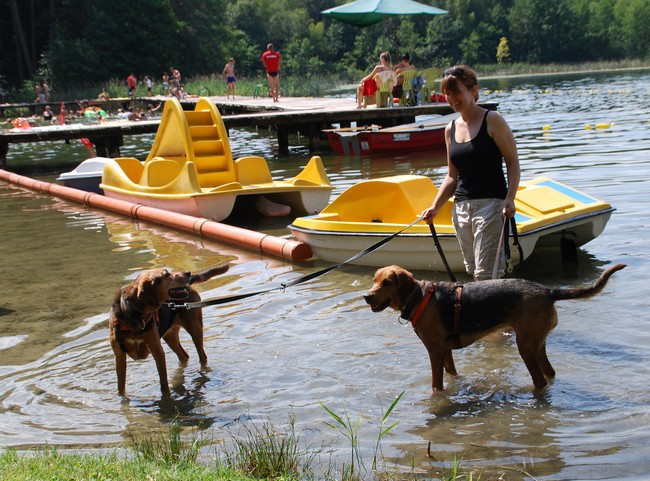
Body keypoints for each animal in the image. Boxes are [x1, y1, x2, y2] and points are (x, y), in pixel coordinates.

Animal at [107, 262, 227, 398]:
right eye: (166, 274)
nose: (188, 272)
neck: (133, 316)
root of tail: (189, 283)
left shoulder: (157, 350)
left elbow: (164, 384)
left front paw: (166, 399)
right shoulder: (119, 356)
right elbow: (120, 386)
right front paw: (122, 400)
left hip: (195, 328)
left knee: (202, 357)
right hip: (170, 336)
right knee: (184, 356)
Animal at [364, 262, 624, 390]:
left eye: (387, 283)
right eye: (375, 280)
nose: (366, 297)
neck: (419, 297)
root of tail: (548, 291)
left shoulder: (435, 352)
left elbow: (436, 385)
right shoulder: (445, 352)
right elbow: (453, 374)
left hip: (525, 346)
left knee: (539, 381)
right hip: (538, 344)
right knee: (550, 374)